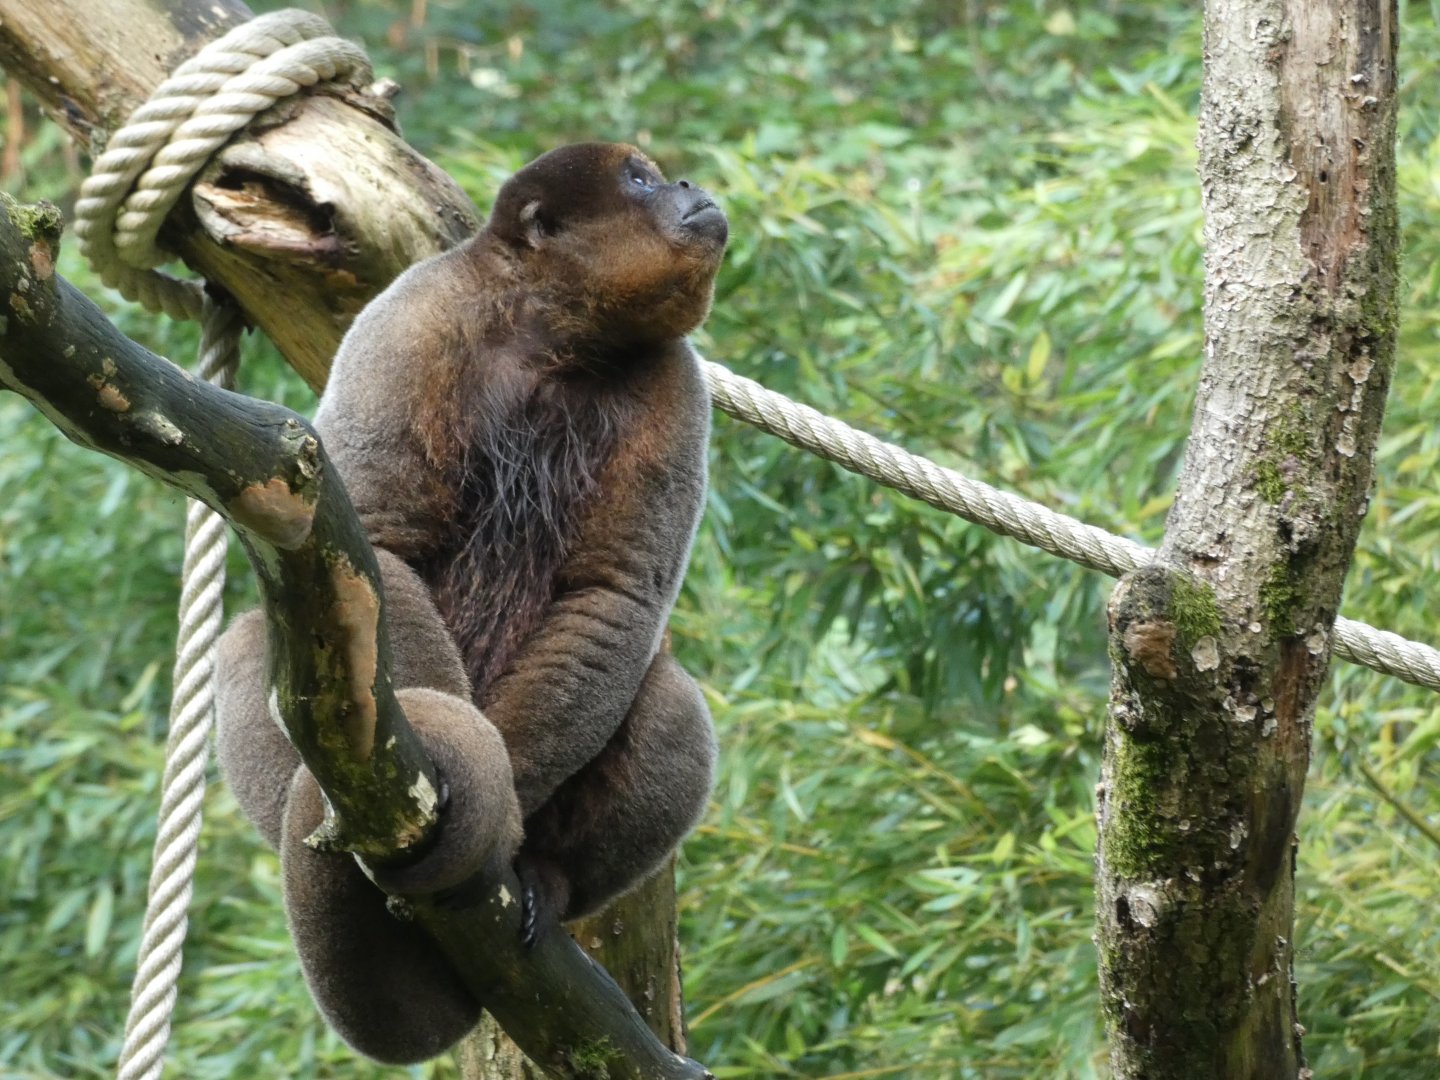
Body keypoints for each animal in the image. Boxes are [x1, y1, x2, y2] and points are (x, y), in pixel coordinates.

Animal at [213, 142, 726, 1064]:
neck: (557, 338)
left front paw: (508, 825)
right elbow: (376, 545)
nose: (689, 187)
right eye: (640, 179)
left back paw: (548, 880)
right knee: (252, 643)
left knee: (670, 698)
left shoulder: (679, 382)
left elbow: (614, 597)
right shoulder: (411, 316)